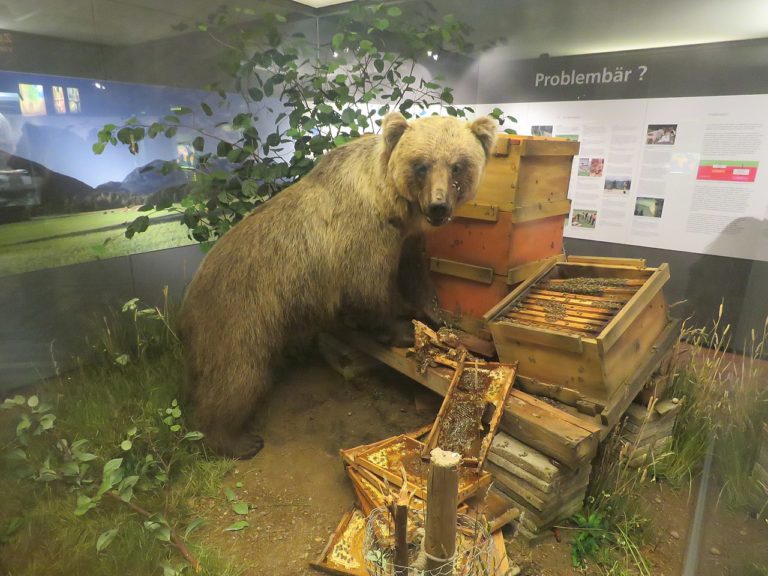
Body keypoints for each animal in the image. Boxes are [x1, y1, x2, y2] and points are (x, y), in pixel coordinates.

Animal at [178, 110, 496, 456]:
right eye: (421, 164)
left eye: (457, 165)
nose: (439, 206)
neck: (391, 204)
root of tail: (189, 295)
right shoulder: (363, 236)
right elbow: (368, 288)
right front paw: (403, 330)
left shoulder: (406, 238)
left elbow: (415, 274)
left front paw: (436, 316)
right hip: (240, 312)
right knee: (237, 375)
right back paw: (235, 439)